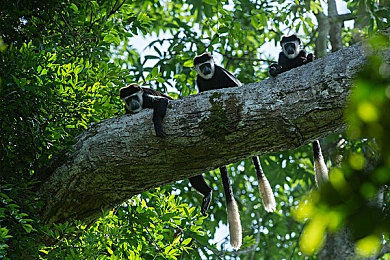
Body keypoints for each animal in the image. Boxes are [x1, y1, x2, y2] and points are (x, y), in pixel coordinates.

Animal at [193, 51, 276, 249]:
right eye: (202, 66)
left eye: (208, 64)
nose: (206, 70)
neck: (210, 77)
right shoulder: (200, 81)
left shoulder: (221, 72)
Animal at [268, 35, 330, 187]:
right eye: (286, 45)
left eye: (293, 44)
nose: (290, 49)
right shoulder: (282, 56)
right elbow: (281, 67)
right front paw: (274, 69)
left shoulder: (301, 52)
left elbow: (303, 59)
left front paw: (308, 58)